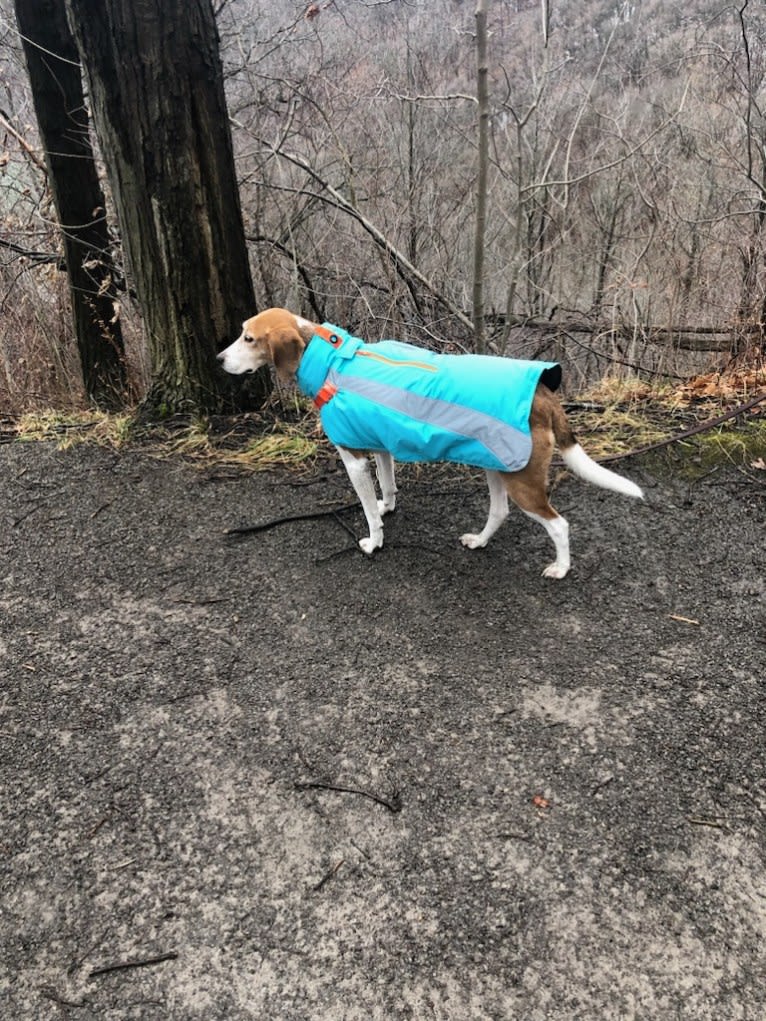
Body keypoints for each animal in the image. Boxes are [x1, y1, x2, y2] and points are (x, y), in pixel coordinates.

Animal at [218, 306, 645, 579]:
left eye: (248, 338)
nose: (219, 359)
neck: (332, 360)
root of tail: (543, 393)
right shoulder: (380, 449)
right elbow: (387, 488)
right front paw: (387, 507)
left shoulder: (354, 460)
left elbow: (368, 511)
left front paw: (374, 542)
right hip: (496, 467)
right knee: (499, 512)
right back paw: (479, 541)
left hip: (523, 482)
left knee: (559, 525)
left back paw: (561, 567)